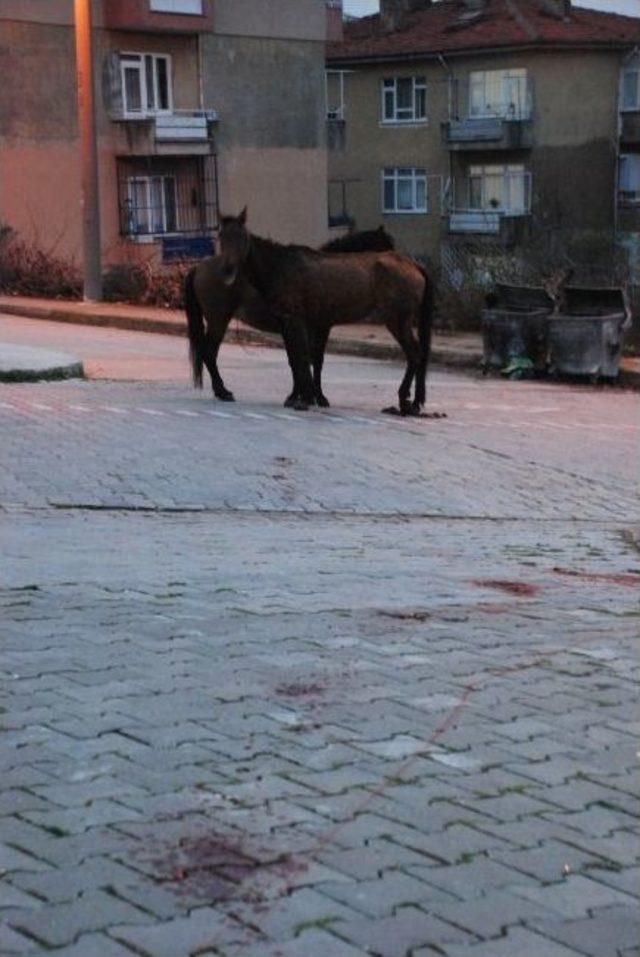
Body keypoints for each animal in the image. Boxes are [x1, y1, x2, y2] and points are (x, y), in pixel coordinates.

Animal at [185, 228, 396, 408]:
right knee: (209, 353)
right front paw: (315, 397)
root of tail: (198, 267)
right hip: (218, 320)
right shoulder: (317, 328)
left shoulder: (300, 328)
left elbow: (300, 360)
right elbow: (309, 360)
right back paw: (223, 391)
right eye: (385, 248)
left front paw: (302, 396)